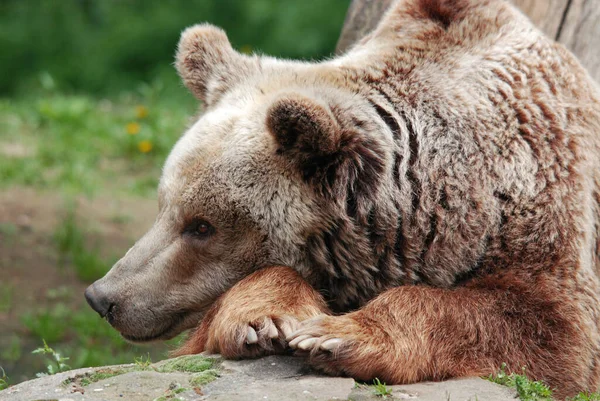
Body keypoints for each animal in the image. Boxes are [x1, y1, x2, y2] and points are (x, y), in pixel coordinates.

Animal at [84, 0, 600, 396]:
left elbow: (549, 333)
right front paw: (264, 318)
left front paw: (336, 336)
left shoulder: (543, 220)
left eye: (202, 226)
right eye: (164, 205)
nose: (104, 297)